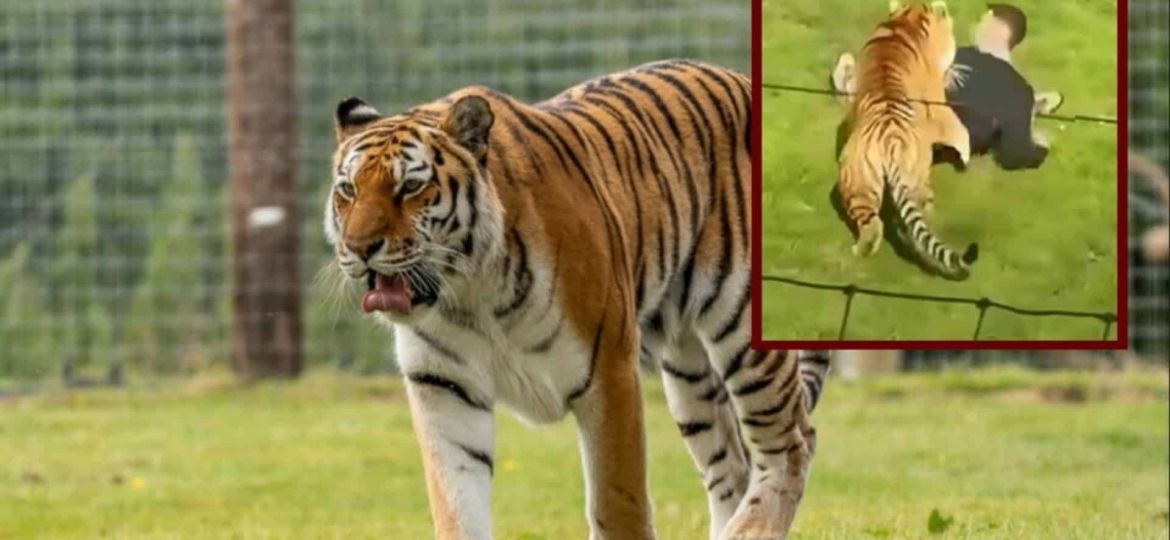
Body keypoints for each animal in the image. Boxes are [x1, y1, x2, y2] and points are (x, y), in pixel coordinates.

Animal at [322, 59, 831, 540]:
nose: (359, 248)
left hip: (740, 325)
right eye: (348, 190)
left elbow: (617, 501)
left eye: (410, 187)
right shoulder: (443, 385)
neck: (470, 293)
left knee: (793, 441)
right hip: (688, 371)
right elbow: (457, 507)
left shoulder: (609, 370)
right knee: (732, 466)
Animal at [837, 0, 979, 280]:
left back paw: (861, 249)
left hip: (857, 179)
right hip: (914, 176)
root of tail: (889, 141)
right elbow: (960, 131)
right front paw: (966, 158)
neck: (907, 18)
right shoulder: (939, 104)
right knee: (918, 214)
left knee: (873, 224)